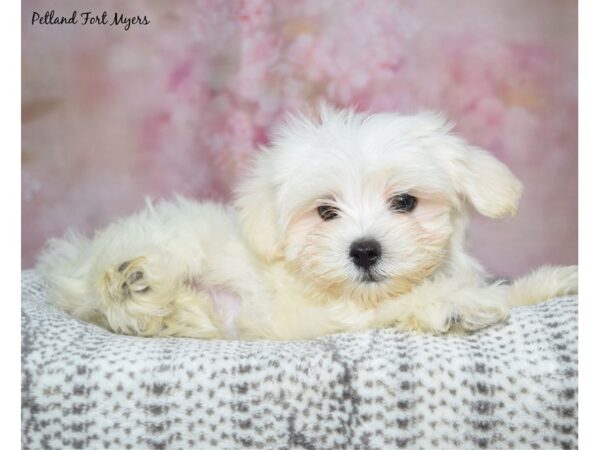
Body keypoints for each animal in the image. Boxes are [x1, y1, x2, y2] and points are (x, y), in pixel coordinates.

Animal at [36, 103, 576, 340]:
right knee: (114, 294)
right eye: (325, 212)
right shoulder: (337, 315)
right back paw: (136, 282)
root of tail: (75, 262)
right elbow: (420, 300)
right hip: (166, 247)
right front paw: (458, 305)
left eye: (404, 202)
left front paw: (552, 283)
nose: (364, 250)